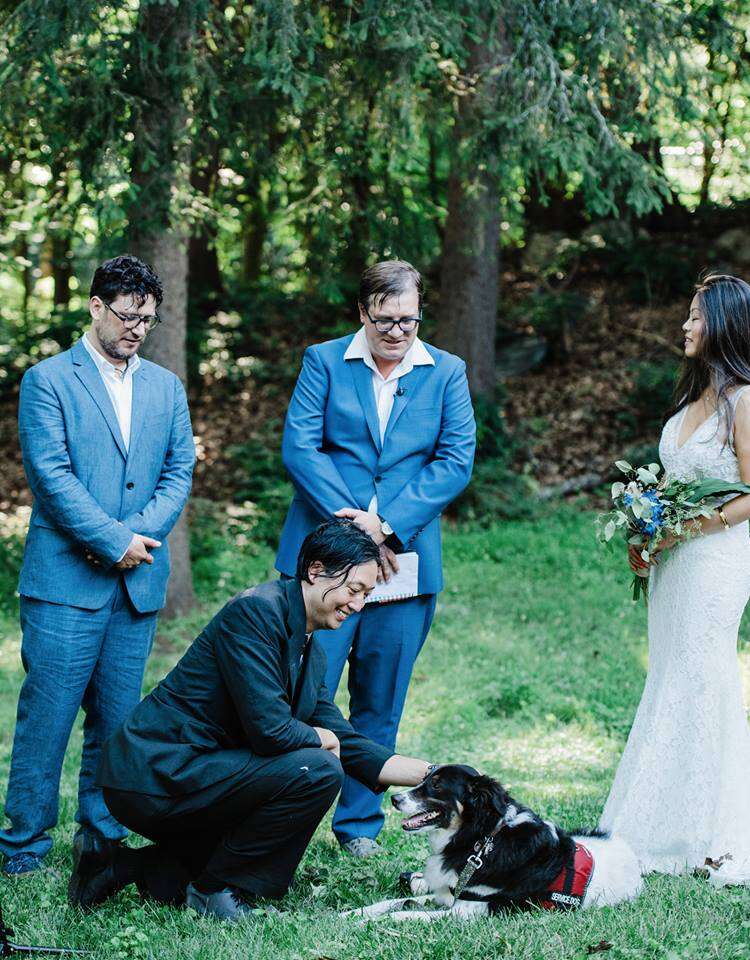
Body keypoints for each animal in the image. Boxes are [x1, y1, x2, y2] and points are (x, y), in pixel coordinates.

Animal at [346, 764, 648, 924]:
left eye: (436, 785)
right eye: (424, 778)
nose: (395, 799)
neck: (478, 840)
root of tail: (632, 858)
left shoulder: (469, 910)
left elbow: (405, 915)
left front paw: (365, 923)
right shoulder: (448, 894)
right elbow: (394, 901)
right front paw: (351, 913)